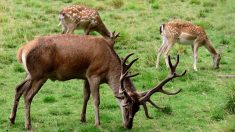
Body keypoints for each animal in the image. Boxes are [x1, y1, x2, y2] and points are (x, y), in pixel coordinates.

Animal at [8, 33, 185, 131]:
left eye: (137, 110)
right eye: (126, 106)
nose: (128, 126)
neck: (109, 65)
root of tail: (22, 50)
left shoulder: (85, 76)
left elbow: (85, 96)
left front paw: (83, 119)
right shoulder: (94, 74)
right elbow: (96, 100)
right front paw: (98, 124)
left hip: (29, 74)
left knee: (18, 88)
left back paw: (12, 119)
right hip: (39, 75)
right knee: (28, 96)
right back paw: (28, 125)